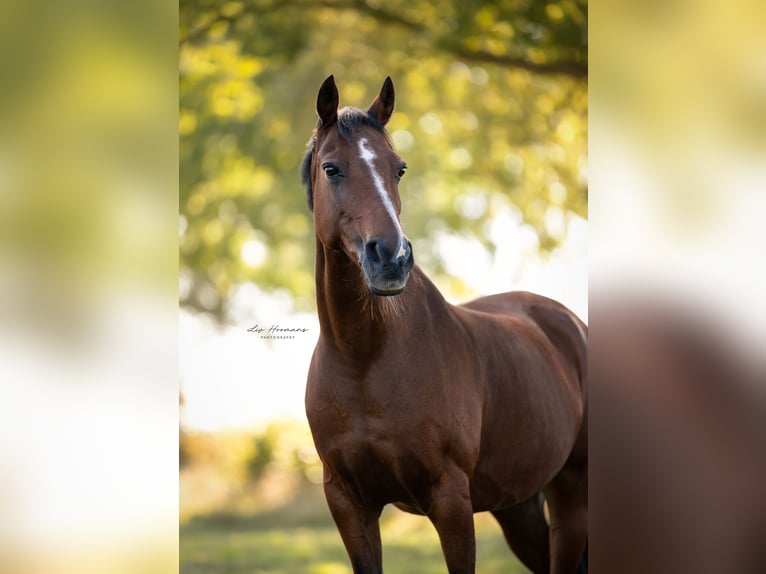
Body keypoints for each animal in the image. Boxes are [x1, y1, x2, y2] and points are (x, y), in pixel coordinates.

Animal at [304, 74, 592, 572]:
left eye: (399, 168)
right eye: (331, 169)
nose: (391, 258)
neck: (366, 359)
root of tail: (570, 323)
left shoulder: (451, 501)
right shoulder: (348, 503)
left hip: (572, 492)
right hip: (519, 506)